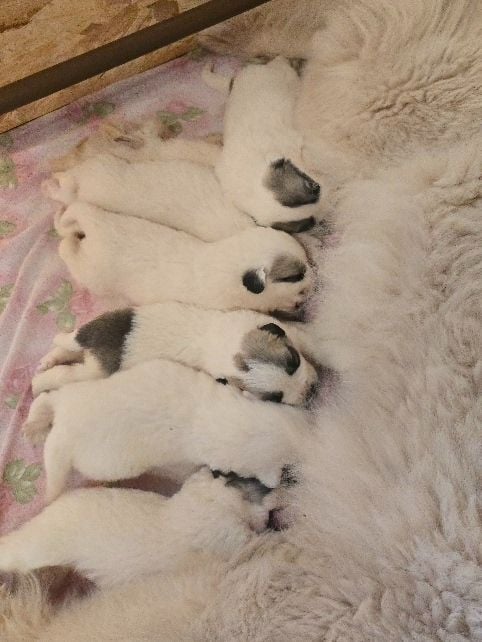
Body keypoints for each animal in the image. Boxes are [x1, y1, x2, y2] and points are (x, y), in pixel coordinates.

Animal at [31, 302, 320, 404]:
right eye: (275, 398)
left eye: (294, 361)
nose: (311, 392)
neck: (227, 344)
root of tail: (96, 344)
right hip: (95, 371)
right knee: (67, 372)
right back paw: (39, 381)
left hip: (105, 322)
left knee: (68, 344)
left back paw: (49, 357)